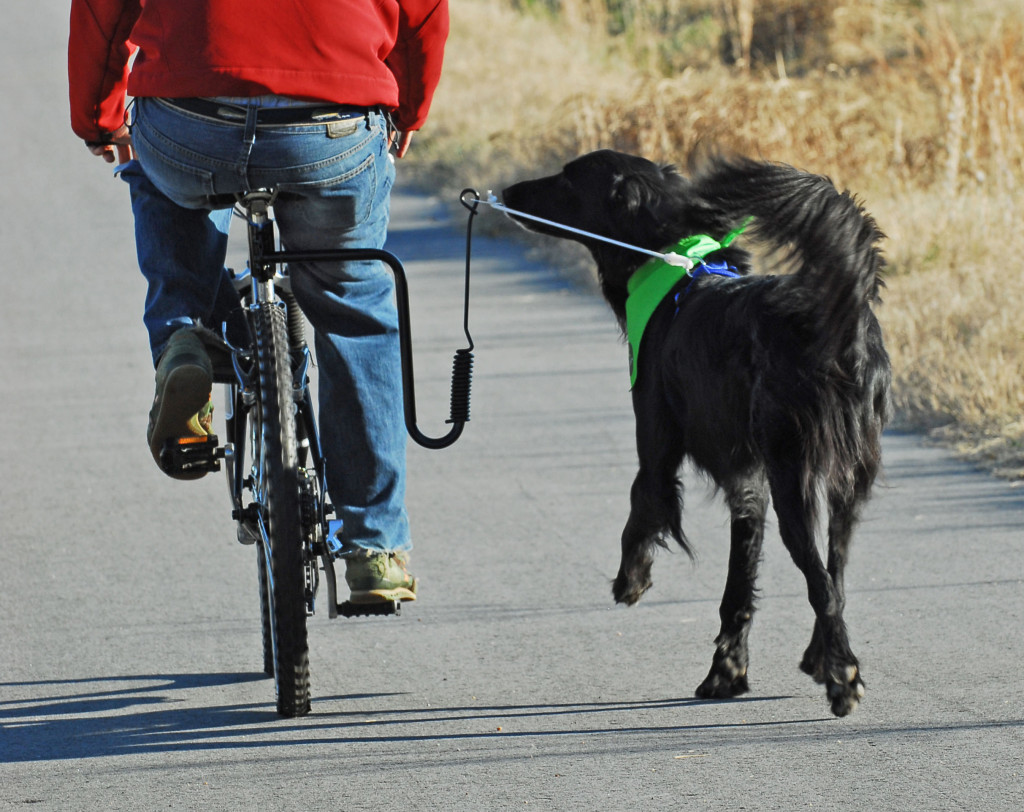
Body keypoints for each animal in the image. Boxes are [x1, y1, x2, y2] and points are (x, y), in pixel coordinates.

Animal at [503, 148, 888, 712]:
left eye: (569, 179)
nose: (507, 192)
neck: (674, 267)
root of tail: (836, 321)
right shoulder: (750, 483)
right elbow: (738, 589)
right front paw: (727, 671)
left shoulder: (657, 446)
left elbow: (642, 508)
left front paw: (631, 579)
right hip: (847, 486)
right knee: (834, 577)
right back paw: (823, 658)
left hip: (794, 479)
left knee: (820, 579)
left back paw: (842, 674)